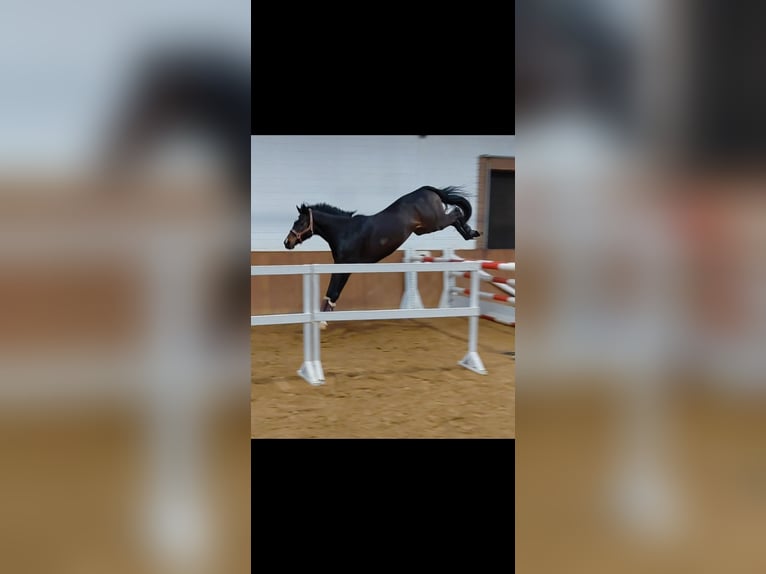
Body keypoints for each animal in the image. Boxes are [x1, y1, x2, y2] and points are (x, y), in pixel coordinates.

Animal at [283, 185, 481, 317]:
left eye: (300, 222)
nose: (287, 242)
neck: (345, 231)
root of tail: (426, 189)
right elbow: (332, 292)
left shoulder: (345, 266)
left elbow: (333, 292)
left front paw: (324, 320)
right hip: (424, 228)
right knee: (456, 216)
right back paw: (470, 233)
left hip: (435, 222)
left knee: (456, 213)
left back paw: (471, 232)